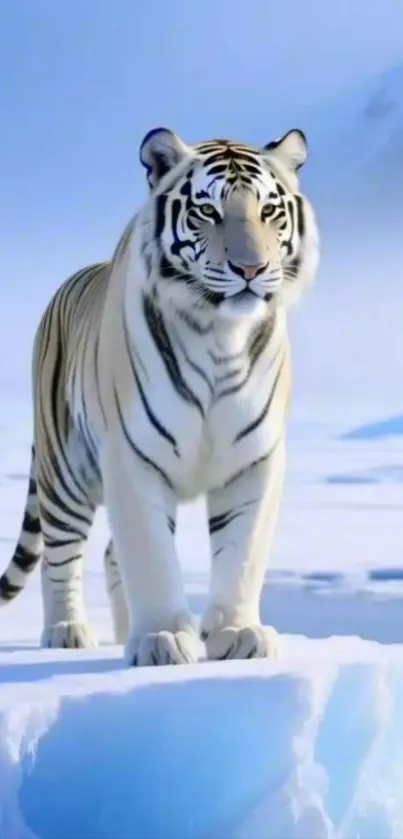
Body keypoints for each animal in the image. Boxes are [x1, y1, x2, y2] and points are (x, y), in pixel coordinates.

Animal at [0, 126, 319, 666]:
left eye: (269, 211)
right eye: (208, 210)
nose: (251, 268)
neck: (220, 336)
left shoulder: (254, 459)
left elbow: (243, 551)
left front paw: (237, 634)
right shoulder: (131, 456)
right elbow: (149, 555)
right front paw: (164, 639)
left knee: (109, 554)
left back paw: (119, 631)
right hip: (65, 470)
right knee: (61, 554)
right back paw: (67, 631)